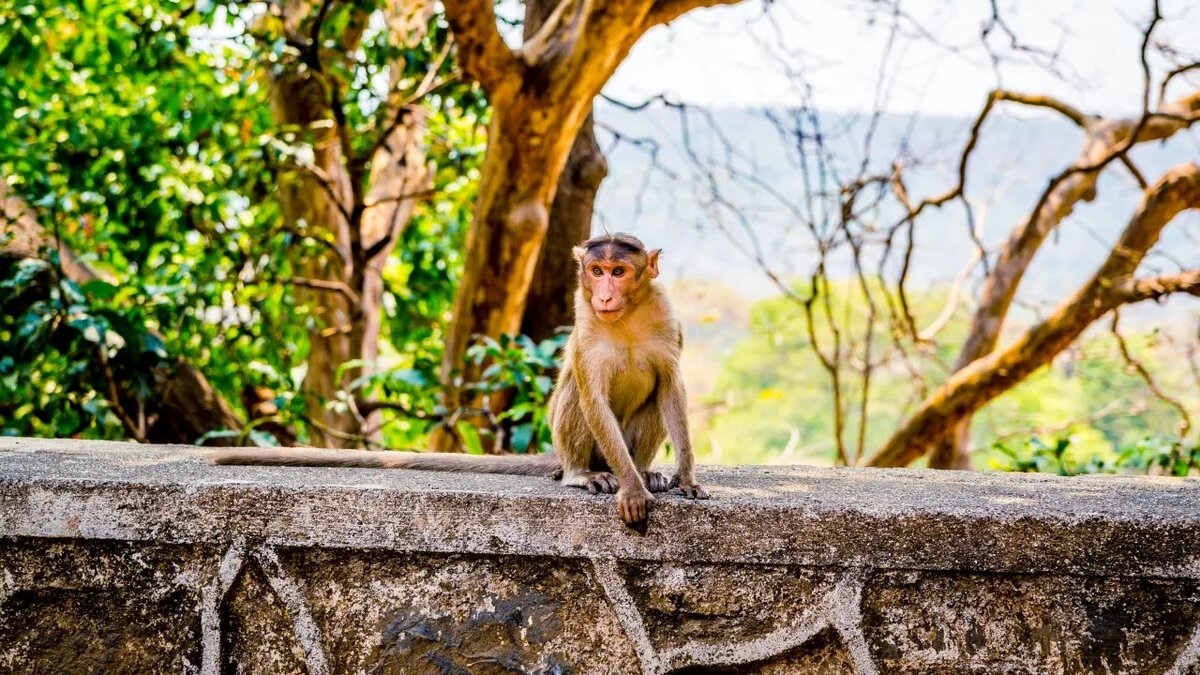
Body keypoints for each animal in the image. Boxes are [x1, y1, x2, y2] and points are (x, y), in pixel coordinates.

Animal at [208, 233, 709, 529]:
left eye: (619, 272)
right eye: (596, 271)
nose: (604, 295)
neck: (624, 317)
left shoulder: (667, 319)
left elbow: (670, 387)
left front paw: (683, 477)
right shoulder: (583, 321)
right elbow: (592, 395)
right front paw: (630, 489)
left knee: (653, 399)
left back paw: (645, 470)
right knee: (574, 395)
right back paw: (586, 474)